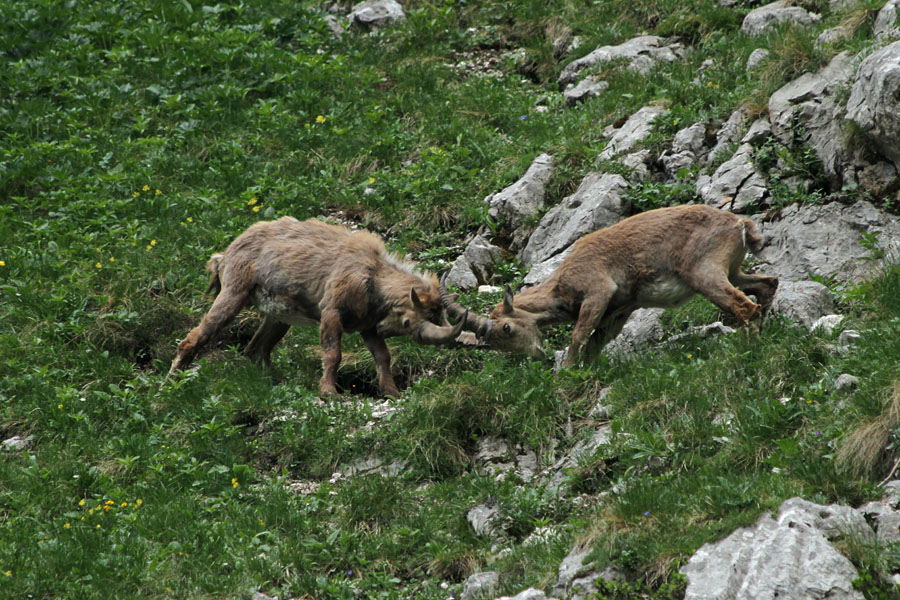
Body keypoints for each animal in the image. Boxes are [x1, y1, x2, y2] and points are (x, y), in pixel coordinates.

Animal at [167, 216, 465, 396]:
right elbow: (333, 353)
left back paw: (279, 382)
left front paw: (391, 391)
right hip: (234, 292)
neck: (373, 274)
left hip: (278, 317)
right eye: (408, 322)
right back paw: (171, 382)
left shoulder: (367, 325)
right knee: (194, 338)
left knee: (256, 349)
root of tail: (225, 255)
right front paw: (329, 393)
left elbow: (382, 356)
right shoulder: (332, 311)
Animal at [442, 204, 778, 366]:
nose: (537, 356)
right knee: (766, 285)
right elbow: (595, 344)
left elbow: (579, 336)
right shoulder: (620, 310)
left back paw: (749, 348)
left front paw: (566, 373)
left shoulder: (597, 292)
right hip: (731, 270)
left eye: (507, 328)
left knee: (744, 306)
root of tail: (738, 224)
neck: (561, 287)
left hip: (703, 272)